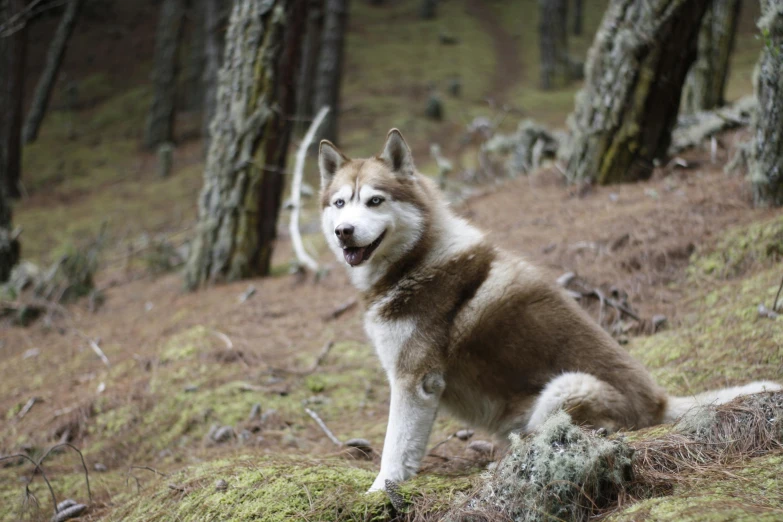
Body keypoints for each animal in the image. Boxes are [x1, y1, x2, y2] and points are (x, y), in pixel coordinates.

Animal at [316, 128, 776, 490]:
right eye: (340, 204)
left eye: (375, 201)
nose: (344, 232)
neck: (415, 260)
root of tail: (660, 401)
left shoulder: (414, 381)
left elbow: (394, 449)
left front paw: (380, 490)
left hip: (564, 387)